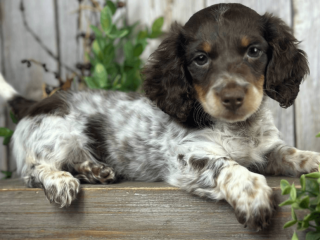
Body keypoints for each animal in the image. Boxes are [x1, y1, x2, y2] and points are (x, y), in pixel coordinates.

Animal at [0, 2, 318, 230]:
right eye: (200, 59)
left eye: (253, 51)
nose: (232, 98)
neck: (238, 127)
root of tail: (34, 104)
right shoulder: (186, 156)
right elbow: (225, 164)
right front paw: (251, 193)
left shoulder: (266, 149)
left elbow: (290, 152)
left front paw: (313, 159)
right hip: (58, 135)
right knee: (33, 170)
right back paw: (61, 181)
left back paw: (95, 170)